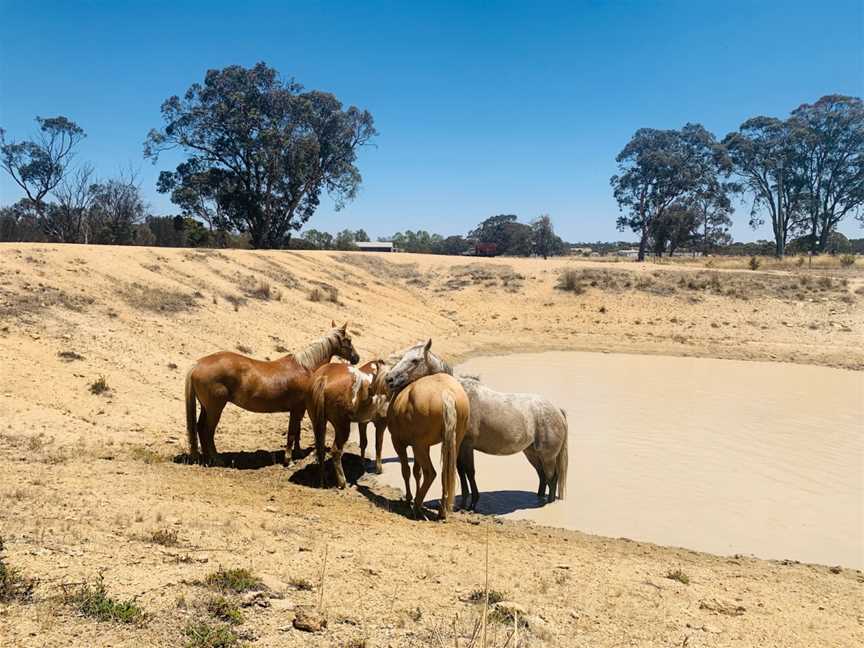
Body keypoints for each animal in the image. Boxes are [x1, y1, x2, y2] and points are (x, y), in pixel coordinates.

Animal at [182, 320, 358, 466]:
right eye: (349, 340)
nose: (356, 358)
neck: (305, 367)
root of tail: (198, 364)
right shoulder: (296, 409)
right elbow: (292, 432)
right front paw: (288, 460)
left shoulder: (299, 410)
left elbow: (297, 432)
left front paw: (298, 453)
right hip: (215, 409)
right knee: (207, 431)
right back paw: (216, 459)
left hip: (206, 408)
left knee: (200, 428)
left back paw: (206, 458)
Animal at [384, 342, 470, 520]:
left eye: (415, 360)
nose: (389, 379)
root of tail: (446, 394)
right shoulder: (425, 446)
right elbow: (417, 472)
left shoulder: (399, 443)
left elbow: (407, 471)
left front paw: (409, 498)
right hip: (450, 444)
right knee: (444, 473)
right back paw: (441, 511)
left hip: (419, 446)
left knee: (431, 473)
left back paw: (416, 507)